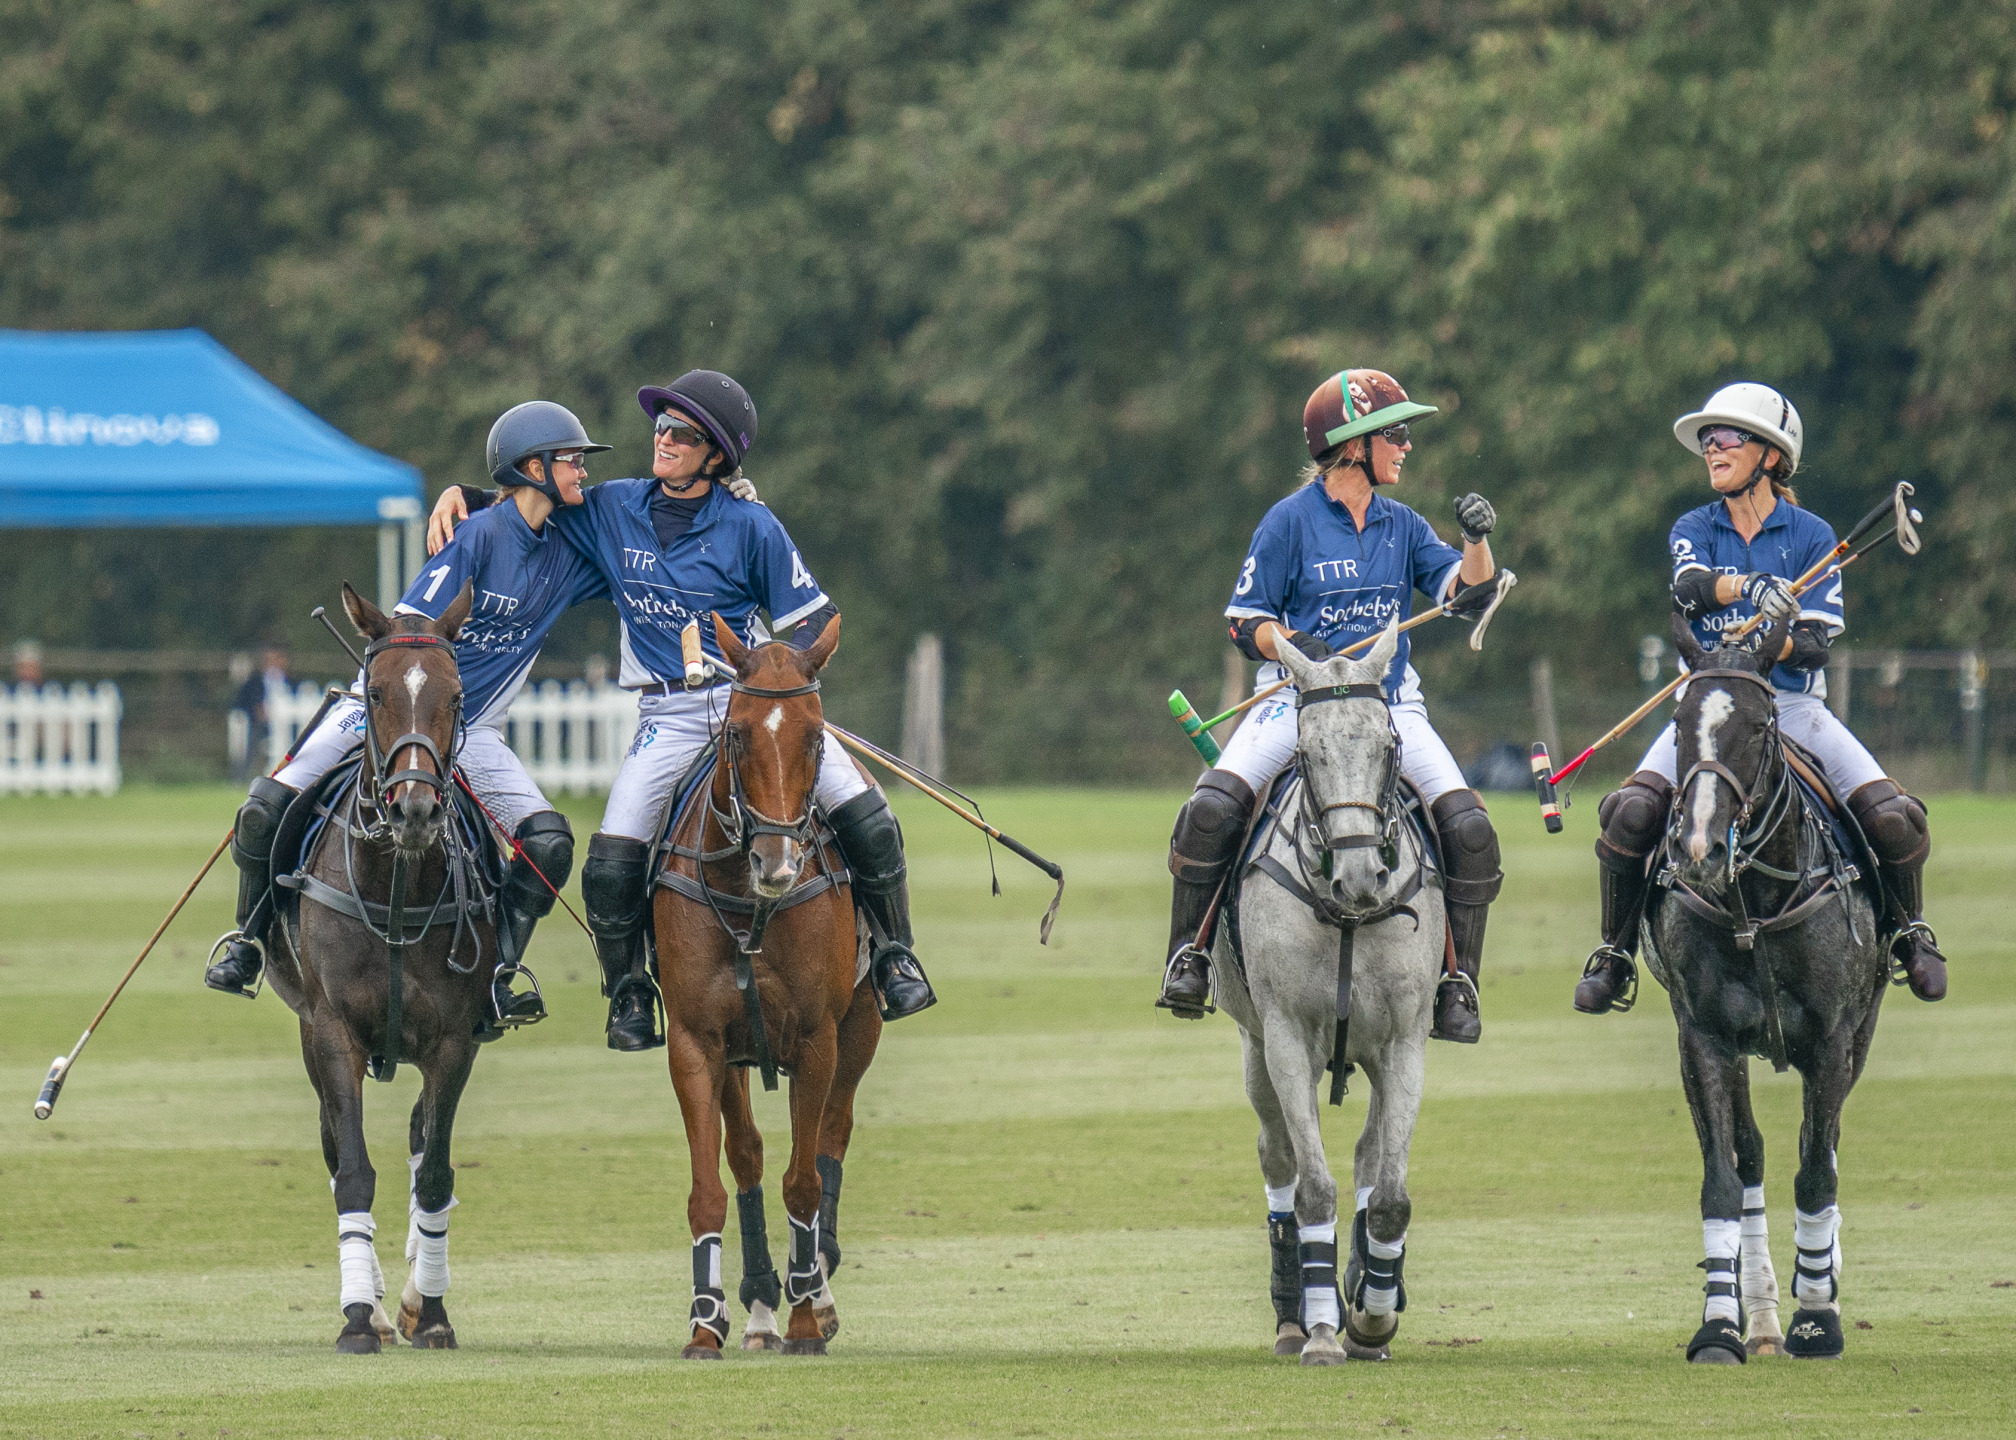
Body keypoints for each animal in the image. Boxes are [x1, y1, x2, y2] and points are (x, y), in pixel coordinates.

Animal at [262, 580, 501, 1347]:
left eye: (457, 695)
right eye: (373, 694)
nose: (416, 810)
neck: (394, 886)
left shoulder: (455, 1041)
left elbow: (435, 1174)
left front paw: (434, 1313)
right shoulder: (332, 1030)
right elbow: (355, 1172)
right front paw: (358, 1318)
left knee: (424, 1144)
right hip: (309, 1030)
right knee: (338, 1151)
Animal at [661, 613, 883, 1355]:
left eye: (816, 737)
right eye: (736, 732)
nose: (778, 865)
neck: (748, 903)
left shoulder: (818, 1039)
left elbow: (805, 1181)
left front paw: (810, 1315)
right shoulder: (697, 1041)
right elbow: (713, 1184)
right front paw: (706, 1320)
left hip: (862, 1025)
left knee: (834, 1133)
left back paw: (818, 1283)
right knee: (749, 1155)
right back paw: (760, 1303)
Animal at [1201, 621, 1443, 1363]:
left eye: (1389, 745)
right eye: (1308, 752)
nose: (1361, 877)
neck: (1348, 917)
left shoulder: (1404, 1042)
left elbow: (1390, 1195)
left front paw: (1371, 1316)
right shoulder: (1285, 1038)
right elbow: (1311, 1189)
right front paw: (1323, 1331)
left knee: (1367, 1156)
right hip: (1252, 1044)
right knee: (1277, 1155)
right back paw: (1293, 1315)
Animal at [1645, 613, 1878, 1363]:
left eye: (1756, 725)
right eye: (1681, 720)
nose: (1699, 849)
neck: (1757, 902)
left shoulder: (1834, 1038)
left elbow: (1817, 1169)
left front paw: (1818, 1318)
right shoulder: (1704, 1037)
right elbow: (1724, 1176)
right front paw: (1720, 1325)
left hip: (1861, 1034)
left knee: (1819, 1146)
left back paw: (1816, 1279)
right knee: (1750, 1155)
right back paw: (1762, 1314)